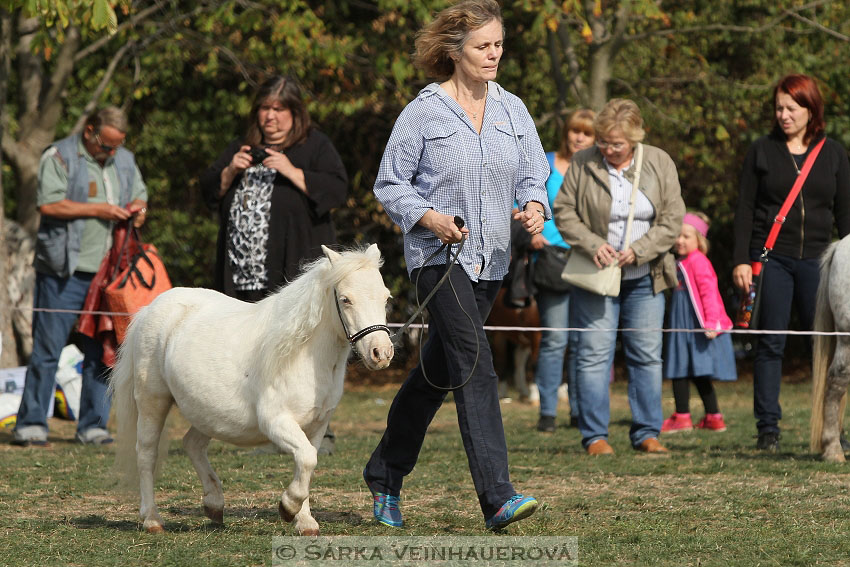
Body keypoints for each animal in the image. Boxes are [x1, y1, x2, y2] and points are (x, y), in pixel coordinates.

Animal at [108, 245, 394, 536]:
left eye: (386, 297)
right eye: (346, 299)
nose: (381, 353)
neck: (302, 355)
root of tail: (149, 309)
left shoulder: (316, 426)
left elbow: (307, 462)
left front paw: (305, 522)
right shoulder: (276, 422)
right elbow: (306, 459)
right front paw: (288, 508)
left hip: (205, 412)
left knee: (192, 445)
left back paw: (214, 504)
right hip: (152, 401)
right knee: (146, 453)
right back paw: (152, 519)